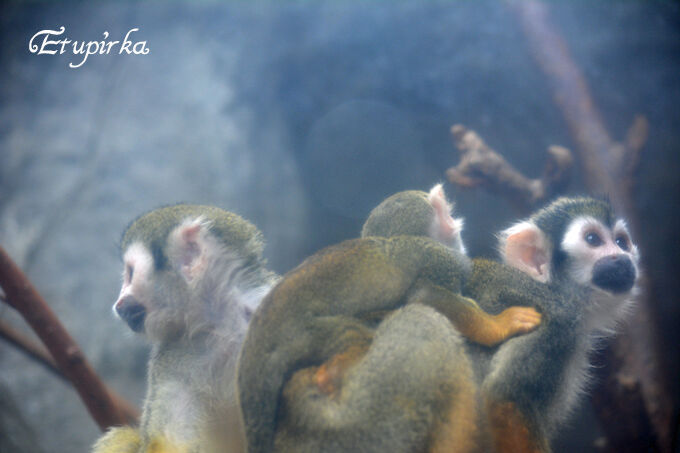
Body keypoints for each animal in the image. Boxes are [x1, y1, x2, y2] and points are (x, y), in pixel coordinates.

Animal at [244, 186, 639, 453]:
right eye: (593, 239)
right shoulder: (556, 326)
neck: (559, 293)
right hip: (353, 425)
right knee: (425, 321)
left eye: (621, 241)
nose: (623, 259)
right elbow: (504, 397)